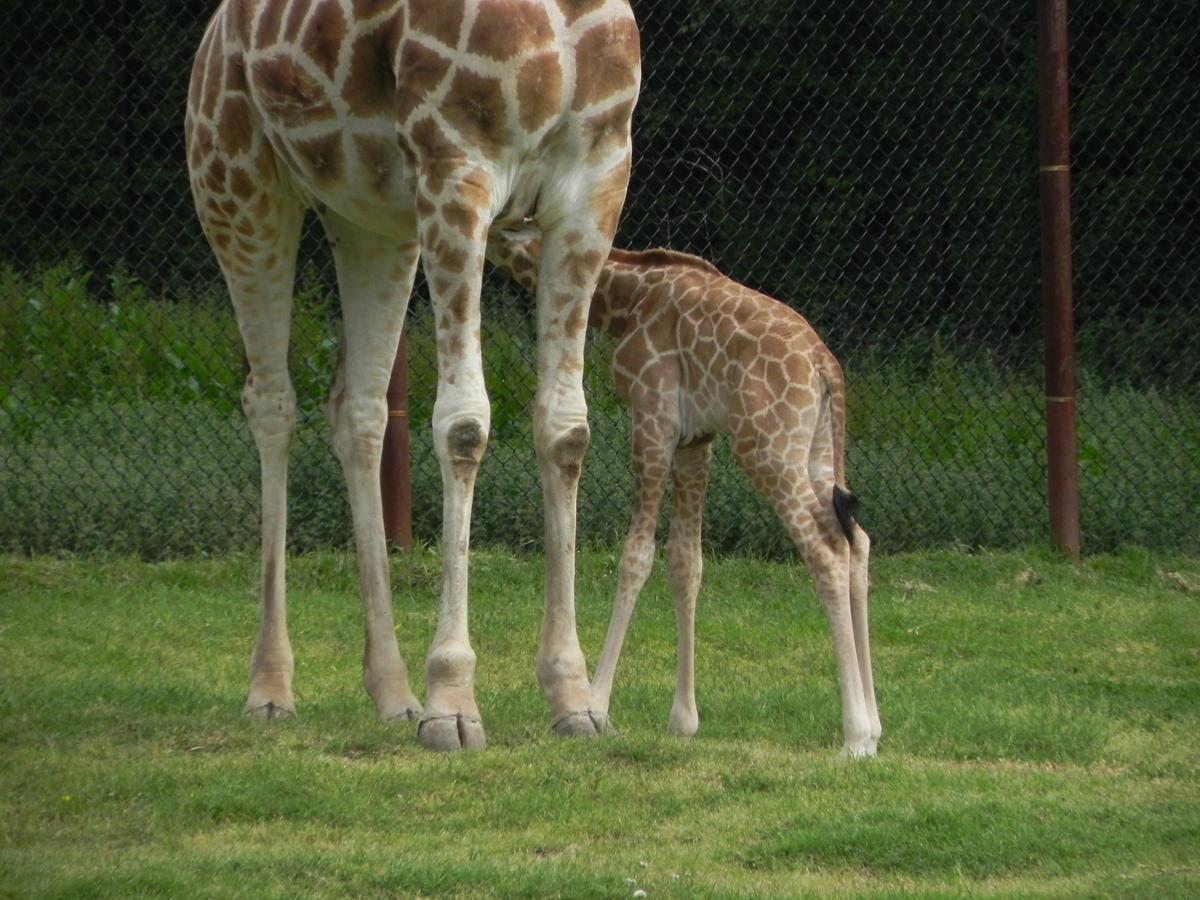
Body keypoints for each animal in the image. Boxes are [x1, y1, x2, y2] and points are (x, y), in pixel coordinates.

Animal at [184, 0, 638, 753]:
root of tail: (215, 35)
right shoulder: (457, 163)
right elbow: (464, 425)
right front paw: (453, 702)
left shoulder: (594, 180)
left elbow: (567, 429)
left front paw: (574, 698)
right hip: (236, 182)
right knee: (272, 402)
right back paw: (271, 690)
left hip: (372, 221)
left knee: (359, 409)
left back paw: (394, 695)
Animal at [484, 229, 883, 758]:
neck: (626, 298)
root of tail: (825, 368)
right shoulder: (696, 440)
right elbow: (685, 563)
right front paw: (684, 719)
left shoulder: (653, 419)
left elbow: (635, 557)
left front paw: (598, 705)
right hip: (817, 451)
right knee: (857, 541)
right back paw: (875, 725)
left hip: (767, 447)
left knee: (826, 551)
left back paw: (855, 736)